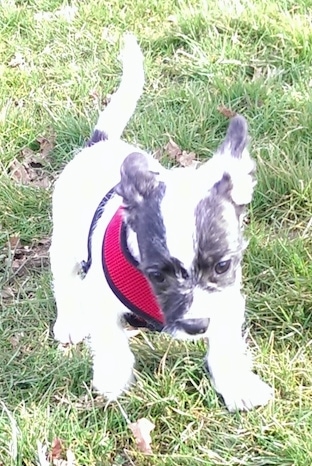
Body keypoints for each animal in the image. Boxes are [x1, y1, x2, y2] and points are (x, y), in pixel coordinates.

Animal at [50, 33, 272, 412]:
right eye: (157, 275)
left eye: (223, 266)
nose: (197, 325)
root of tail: (100, 143)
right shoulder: (100, 302)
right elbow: (111, 342)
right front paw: (113, 379)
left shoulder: (227, 300)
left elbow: (226, 348)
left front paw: (237, 386)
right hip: (64, 243)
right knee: (63, 280)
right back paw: (69, 321)